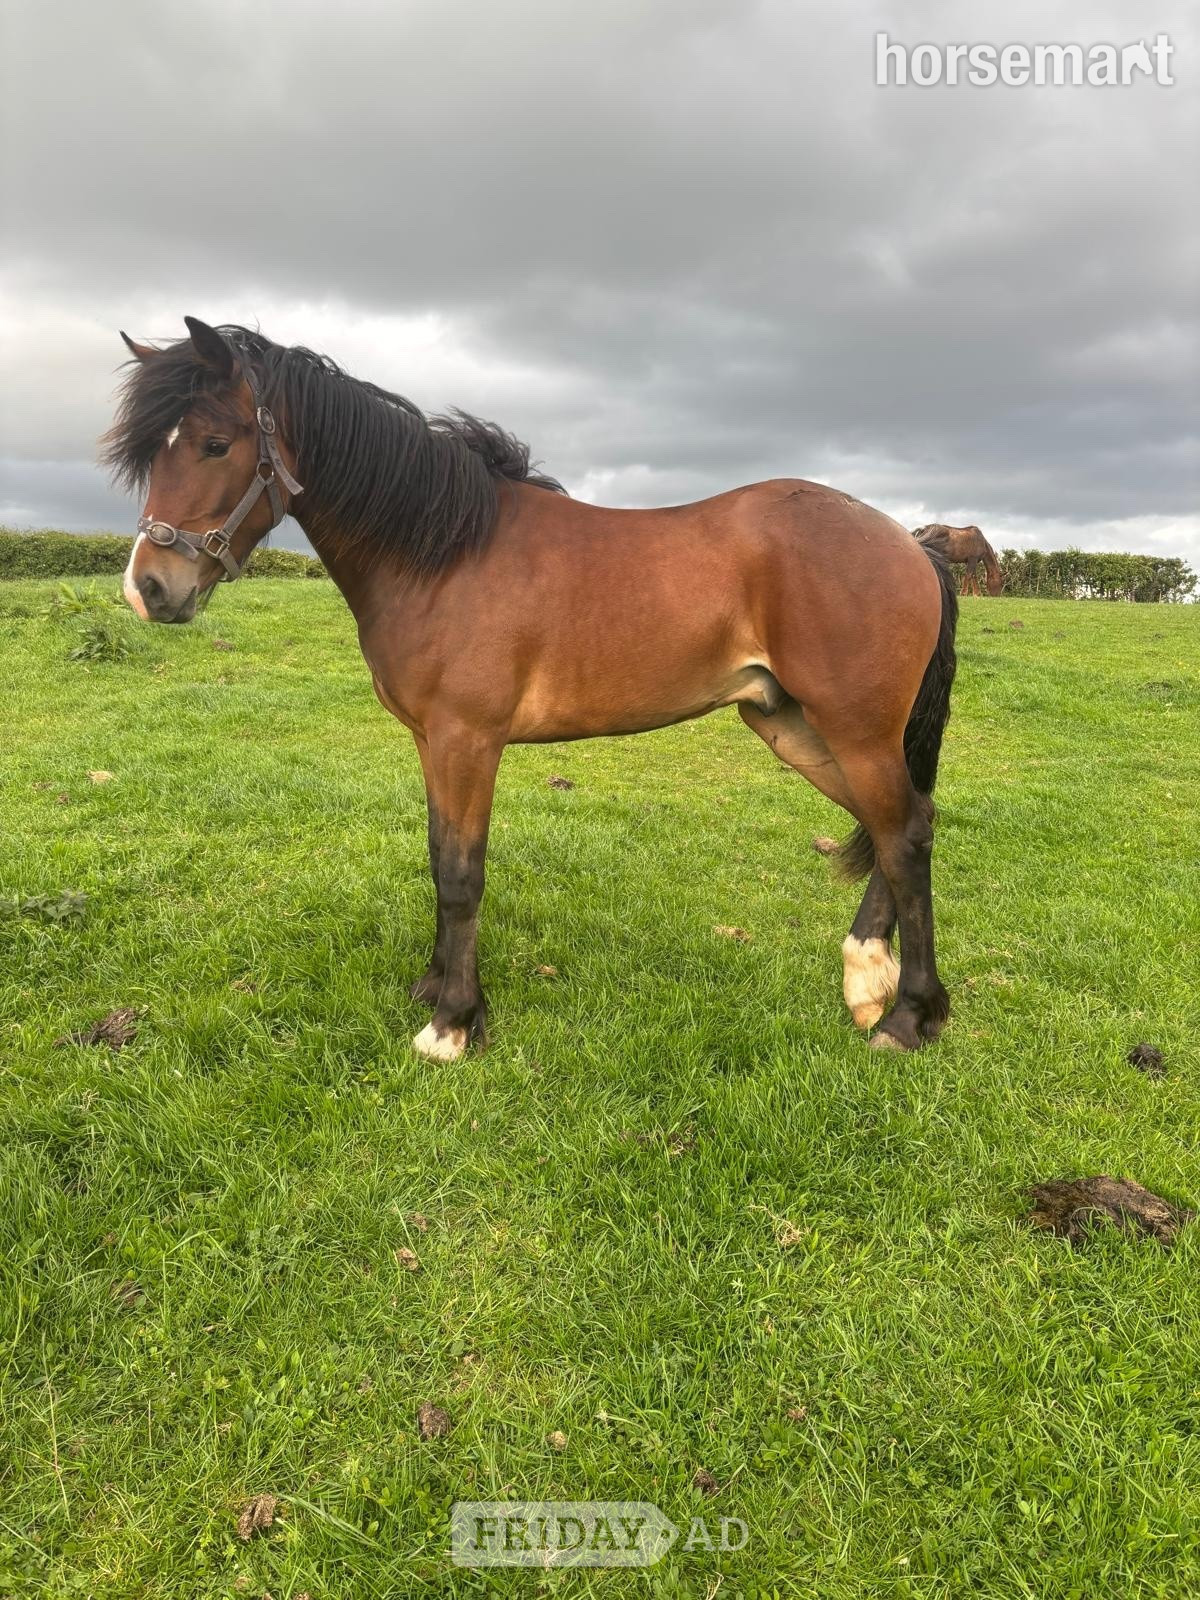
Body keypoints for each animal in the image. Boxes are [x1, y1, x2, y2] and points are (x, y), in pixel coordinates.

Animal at [104, 317, 959, 1059]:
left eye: (216, 443)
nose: (149, 589)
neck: (441, 550)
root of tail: (908, 543)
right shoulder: (432, 741)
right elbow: (437, 853)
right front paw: (435, 988)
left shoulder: (468, 740)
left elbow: (462, 873)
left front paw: (453, 1025)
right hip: (791, 725)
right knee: (901, 823)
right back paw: (867, 979)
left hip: (854, 730)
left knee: (905, 835)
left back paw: (909, 1017)